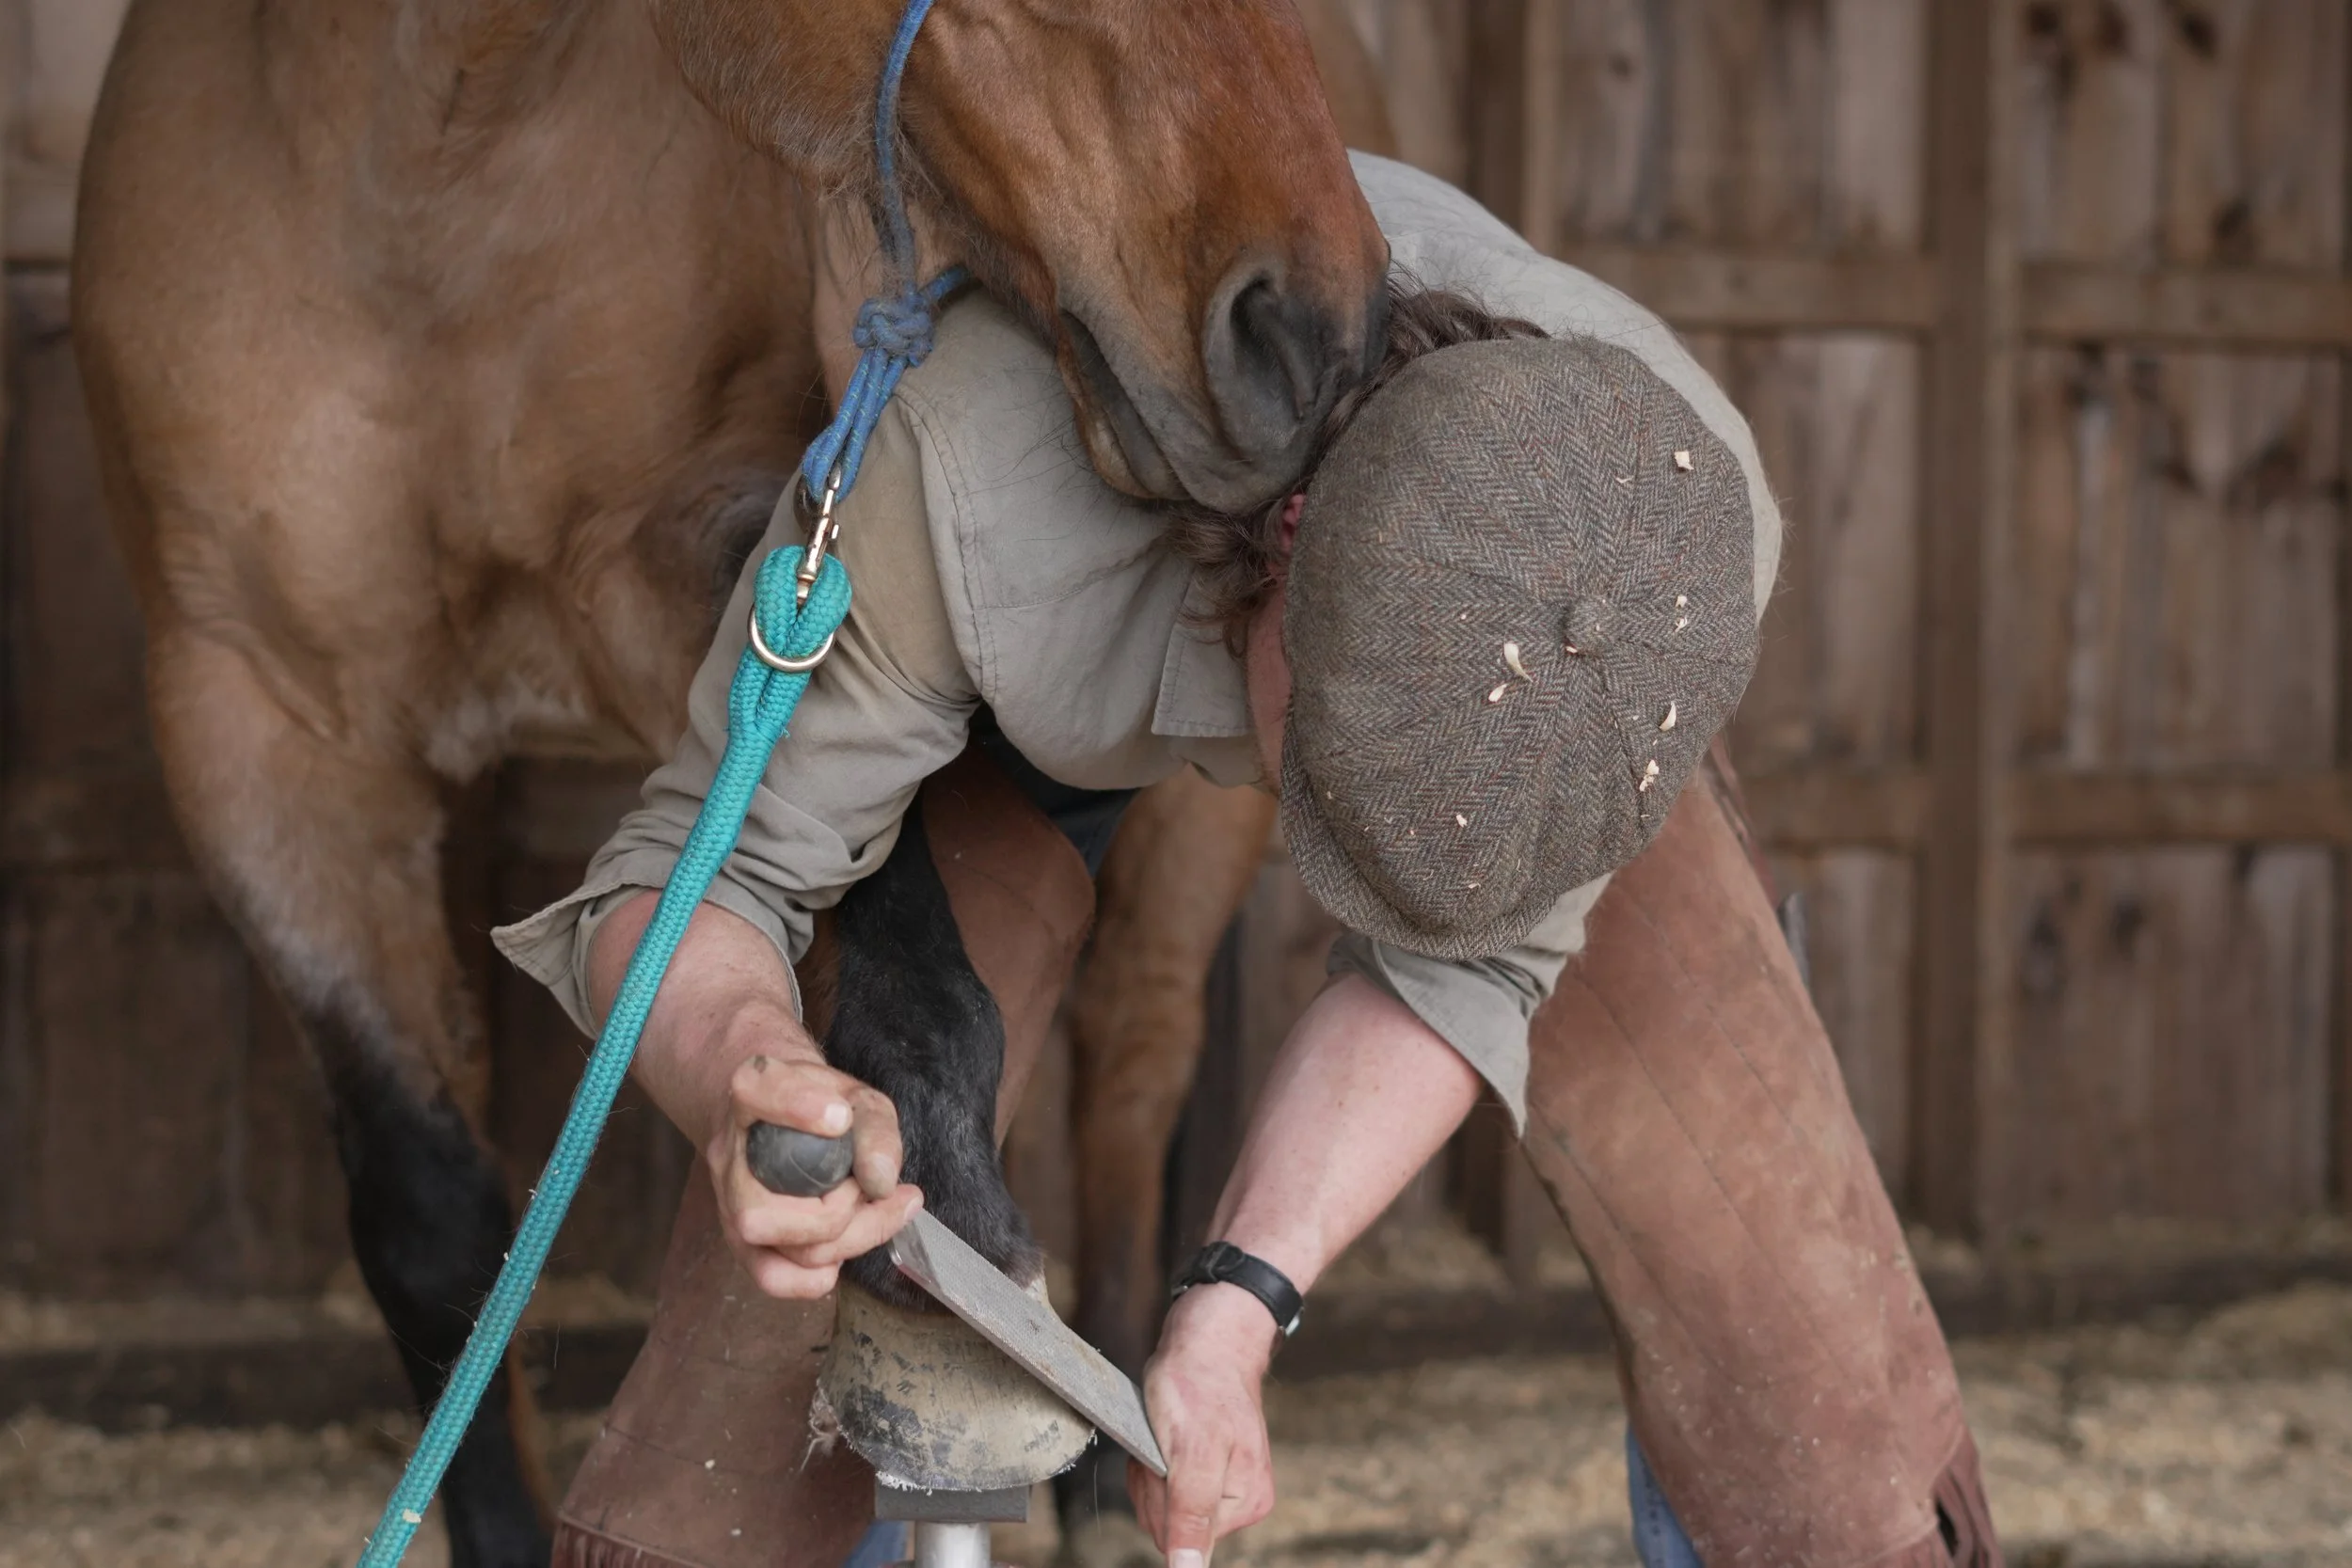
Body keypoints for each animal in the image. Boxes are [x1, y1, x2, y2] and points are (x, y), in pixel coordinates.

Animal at [71, 1, 1389, 1562]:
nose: (1317, 334)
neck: (430, 178)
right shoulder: (257, 732)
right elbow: (433, 1218)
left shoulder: (770, 562)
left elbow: (914, 937)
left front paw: (946, 1192)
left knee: (1134, 1054)